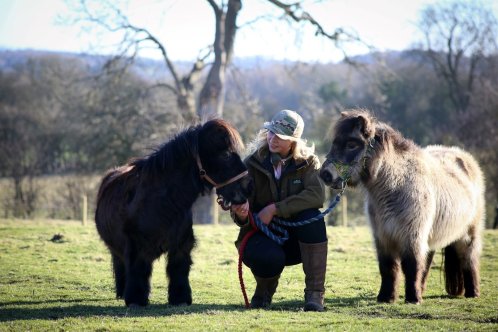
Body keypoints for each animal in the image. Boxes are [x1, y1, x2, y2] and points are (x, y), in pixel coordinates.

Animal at [96, 118, 253, 306]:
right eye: (225, 155)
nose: (249, 186)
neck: (163, 203)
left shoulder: (181, 245)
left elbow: (178, 269)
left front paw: (180, 298)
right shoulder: (136, 245)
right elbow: (138, 269)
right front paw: (136, 299)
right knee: (119, 262)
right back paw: (122, 291)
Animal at [320, 110, 486, 304]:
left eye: (351, 144)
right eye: (335, 142)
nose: (325, 174)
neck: (395, 185)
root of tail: (464, 158)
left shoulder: (412, 235)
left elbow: (411, 265)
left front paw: (413, 299)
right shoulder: (383, 237)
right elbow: (388, 268)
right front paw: (386, 297)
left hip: (468, 234)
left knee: (469, 259)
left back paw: (472, 293)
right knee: (427, 261)